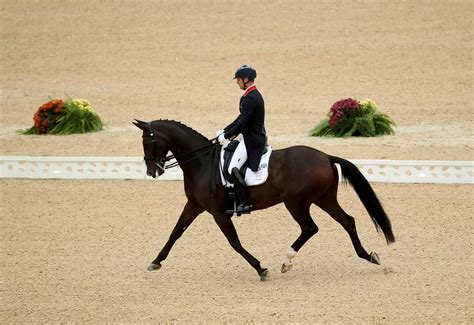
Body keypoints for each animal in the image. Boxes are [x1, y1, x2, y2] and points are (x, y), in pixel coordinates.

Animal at [131, 117, 394, 280]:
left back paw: (286, 261)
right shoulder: (194, 205)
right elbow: (175, 232)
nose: (152, 171)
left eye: (148, 141)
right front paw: (156, 261)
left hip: (296, 203)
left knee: (310, 228)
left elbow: (234, 242)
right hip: (324, 199)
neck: (202, 163)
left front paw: (260, 268)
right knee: (347, 221)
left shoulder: (218, 212)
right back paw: (368, 256)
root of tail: (326, 156)